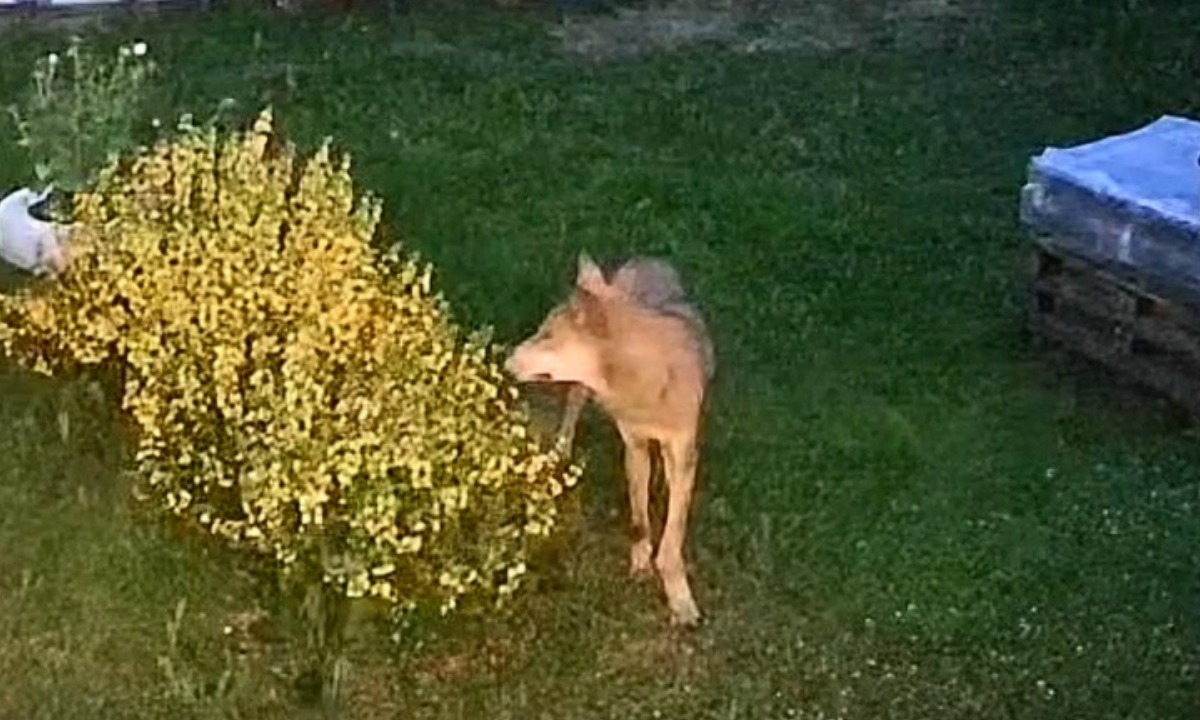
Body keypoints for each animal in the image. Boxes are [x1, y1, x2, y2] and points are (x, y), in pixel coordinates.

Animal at [506, 252, 715, 626]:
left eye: (547, 336)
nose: (504, 360)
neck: (644, 380)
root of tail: (647, 259)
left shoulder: (684, 453)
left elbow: (672, 536)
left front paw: (681, 601)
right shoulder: (634, 445)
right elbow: (640, 520)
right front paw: (641, 564)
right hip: (581, 392)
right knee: (573, 406)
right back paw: (560, 452)